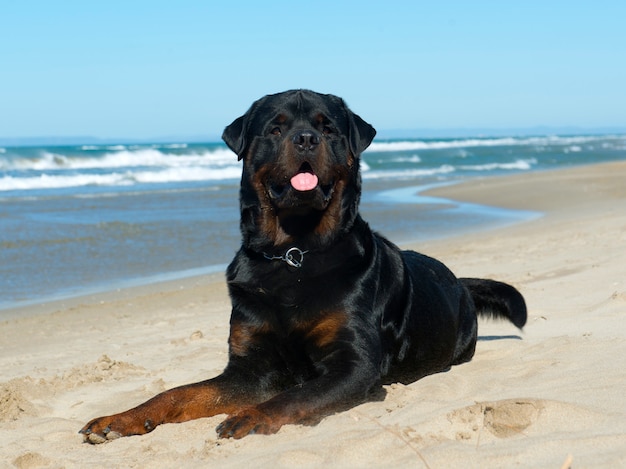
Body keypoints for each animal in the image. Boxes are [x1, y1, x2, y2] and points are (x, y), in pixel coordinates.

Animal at [80, 88, 524, 442]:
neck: (294, 253)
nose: (306, 139)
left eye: (327, 129)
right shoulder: (249, 368)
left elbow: (297, 393)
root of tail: (459, 281)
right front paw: (121, 419)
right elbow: (181, 392)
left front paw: (252, 416)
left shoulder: (355, 363)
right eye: (275, 129)